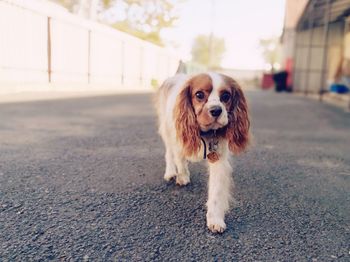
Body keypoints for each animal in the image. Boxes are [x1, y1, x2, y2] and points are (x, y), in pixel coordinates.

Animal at [155, 72, 249, 233]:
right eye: (199, 95)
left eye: (226, 96)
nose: (216, 110)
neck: (205, 132)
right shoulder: (179, 138)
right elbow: (180, 160)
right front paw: (182, 176)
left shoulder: (218, 158)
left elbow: (216, 191)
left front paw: (215, 219)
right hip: (166, 130)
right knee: (169, 153)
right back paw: (171, 172)